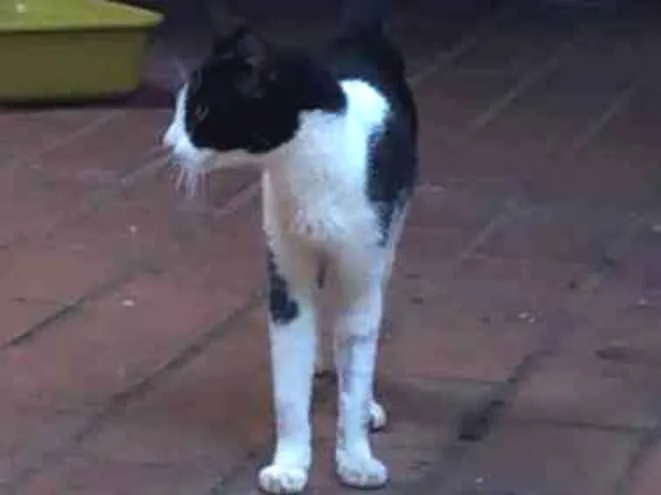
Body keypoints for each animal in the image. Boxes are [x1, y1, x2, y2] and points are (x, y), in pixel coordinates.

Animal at [162, 0, 418, 492]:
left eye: (199, 111)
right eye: (182, 108)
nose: (168, 142)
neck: (311, 170)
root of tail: (359, 33)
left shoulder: (362, 268)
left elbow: (356, 374)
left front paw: (357, 459)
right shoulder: (285, 274)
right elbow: (289, 386)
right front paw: (290, 464)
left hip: (390, 236)